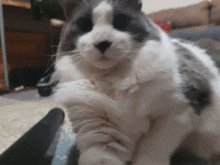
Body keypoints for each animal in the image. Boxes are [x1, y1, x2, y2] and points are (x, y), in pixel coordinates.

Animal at [52, 0, 220, 165]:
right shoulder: (99, 132)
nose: (102, 43)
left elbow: (151, 150)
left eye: (120, 21)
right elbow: (102, 157)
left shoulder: (178, 112)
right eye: (84, 24)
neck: (114, 80)